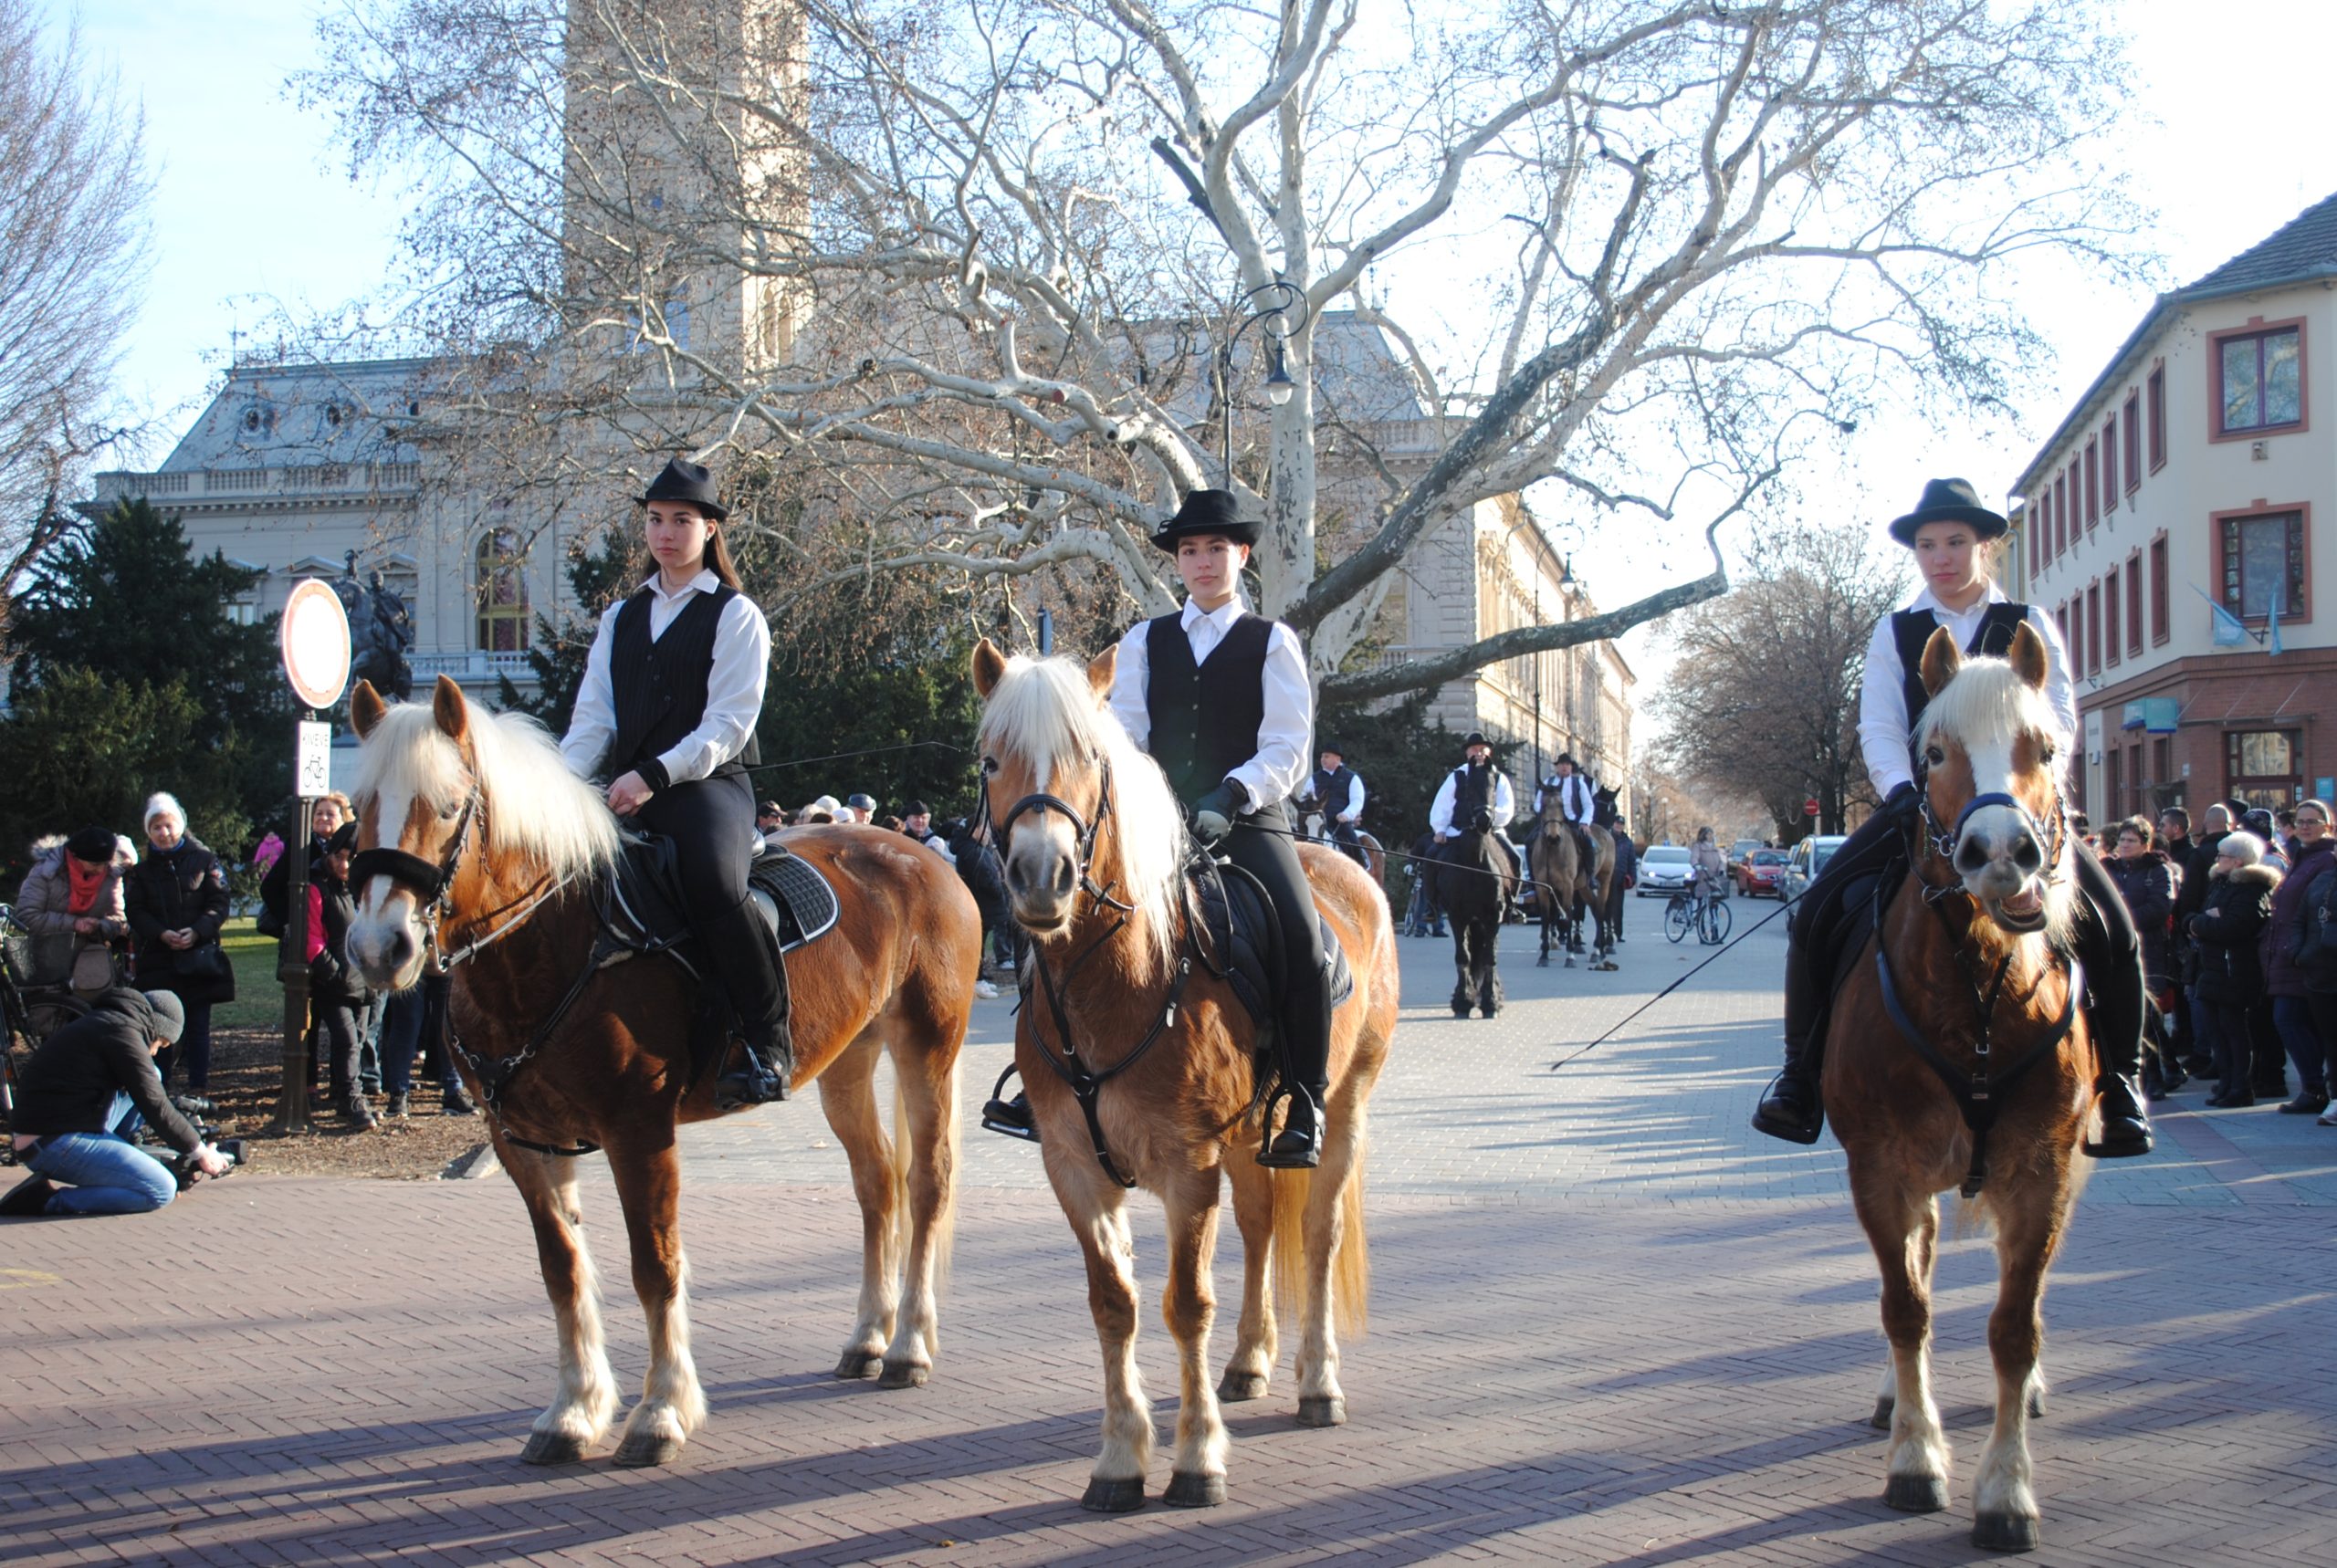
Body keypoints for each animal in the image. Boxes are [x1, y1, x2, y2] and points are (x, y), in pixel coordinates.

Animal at [341, 673, 977, 1477]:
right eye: (360, 807)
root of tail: (924, 858)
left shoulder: (638, 1129)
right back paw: (868, 1336)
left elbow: (655, 1264)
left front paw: (662, 1411)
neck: (563, 936)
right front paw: (574, 1410)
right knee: (876, 1185)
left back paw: (909, 1346)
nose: (378, 948)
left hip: (927, 1049)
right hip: (846, 1064)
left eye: (451, 805)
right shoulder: (524, 1138)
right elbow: (563, 1270)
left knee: (926, 1183)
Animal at [971, 644, 1392, 1514]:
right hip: (1248, 1135)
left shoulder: (1186, 1166)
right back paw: (1250, 1362)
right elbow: (1115, 1305)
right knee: (1263, 1227)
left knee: (1317, 1234)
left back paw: (1317, 1383)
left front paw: (1197, 1459)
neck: (1119, 983)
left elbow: (1186, 1305)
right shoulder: (1074, 1168)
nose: (1041, 876)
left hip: (1344, 1107)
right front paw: (1120, 1458)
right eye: (991, 760)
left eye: (1090, 759)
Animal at [1524, 799, 1617, 967]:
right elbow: (1547, 916)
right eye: (1543, 807)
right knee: (1594, 909)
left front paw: (1570, 954)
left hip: (1605, 881)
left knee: (1600, 911)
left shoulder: (1567, 886)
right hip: (1584, 887)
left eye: (1614, 809)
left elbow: (1569, 914)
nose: (1553, 837)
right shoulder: (1544, 887)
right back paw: (1597, 948)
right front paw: (1544, 955)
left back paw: (1599, 950)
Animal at [1841, 631, 2103, 1561]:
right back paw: (1896, 1401)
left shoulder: (2044, 1174)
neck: (1980, 1004)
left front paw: (2006, 1492)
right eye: (1933, 753)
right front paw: (1915, 1459)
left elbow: (2013, 1326)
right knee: (1913, 1277)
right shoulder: (1881, 1171)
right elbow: (1906, 1307)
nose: (2000, 855)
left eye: (2047, 748)